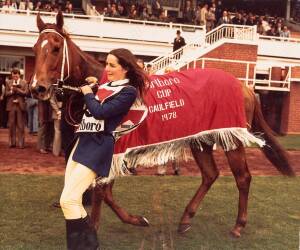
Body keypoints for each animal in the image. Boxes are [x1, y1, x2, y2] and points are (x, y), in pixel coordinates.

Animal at [31, 12, 294, 238]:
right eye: (35, 48)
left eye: (56, 48)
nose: (37, 88)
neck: (101, 90)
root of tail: (245, 87)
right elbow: (104, 192)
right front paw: (135, 219)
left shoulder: (113, 148)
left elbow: (101, 191)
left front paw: (99, 226)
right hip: (202, 139)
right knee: (210, 174)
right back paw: (186, 219)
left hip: (232, 139)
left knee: (243, 177)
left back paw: (238, 225)